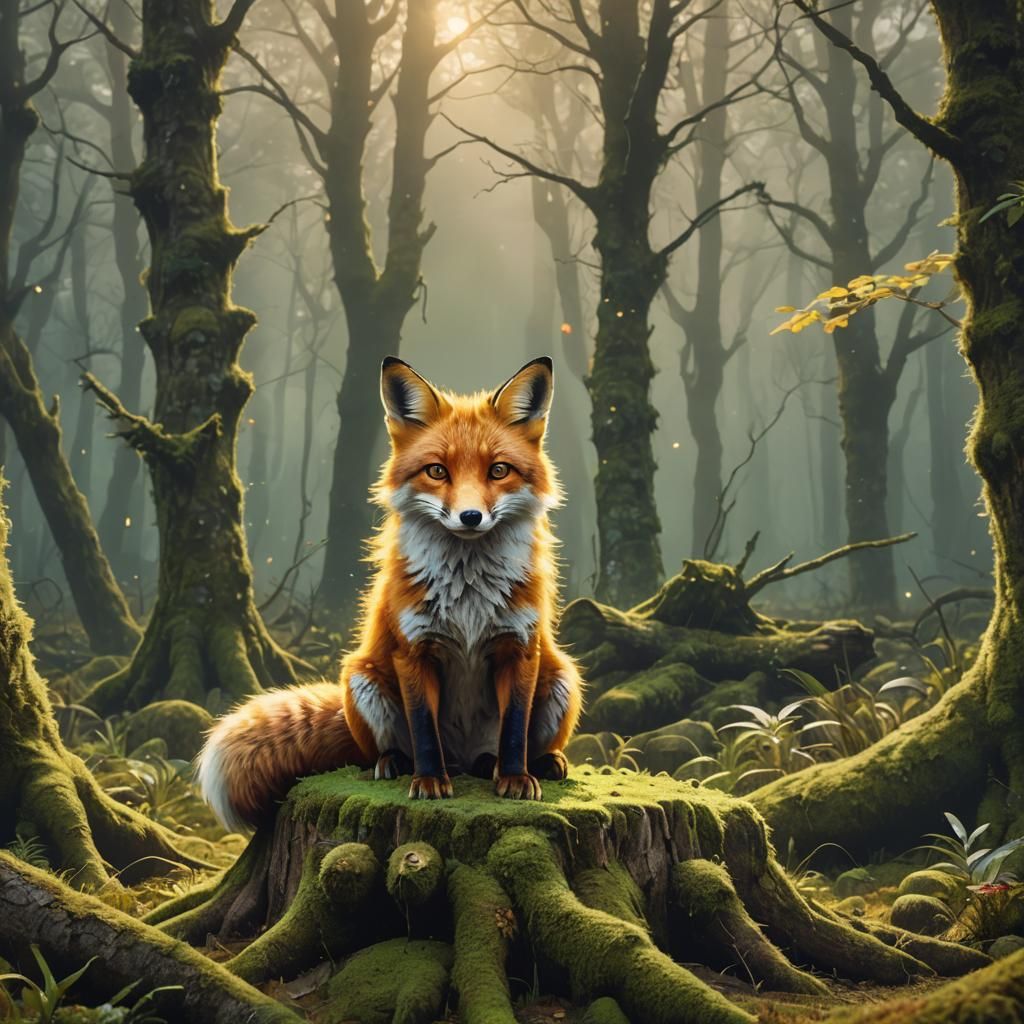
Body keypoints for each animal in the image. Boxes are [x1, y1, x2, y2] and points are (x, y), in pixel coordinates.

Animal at [197, 355, 583, 831]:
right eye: (437, 471)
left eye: (498, 470)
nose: (470, 517)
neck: (469, 596)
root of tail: (464, 757)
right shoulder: (411, 650)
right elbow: (423, 729)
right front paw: (429, 783)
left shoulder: (520, 648)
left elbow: (514, 729)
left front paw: (514, 780)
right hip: (362, 679)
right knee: (386, 751)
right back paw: (396, 763)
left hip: (562, 678)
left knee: (511, 749)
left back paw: (534, 763)